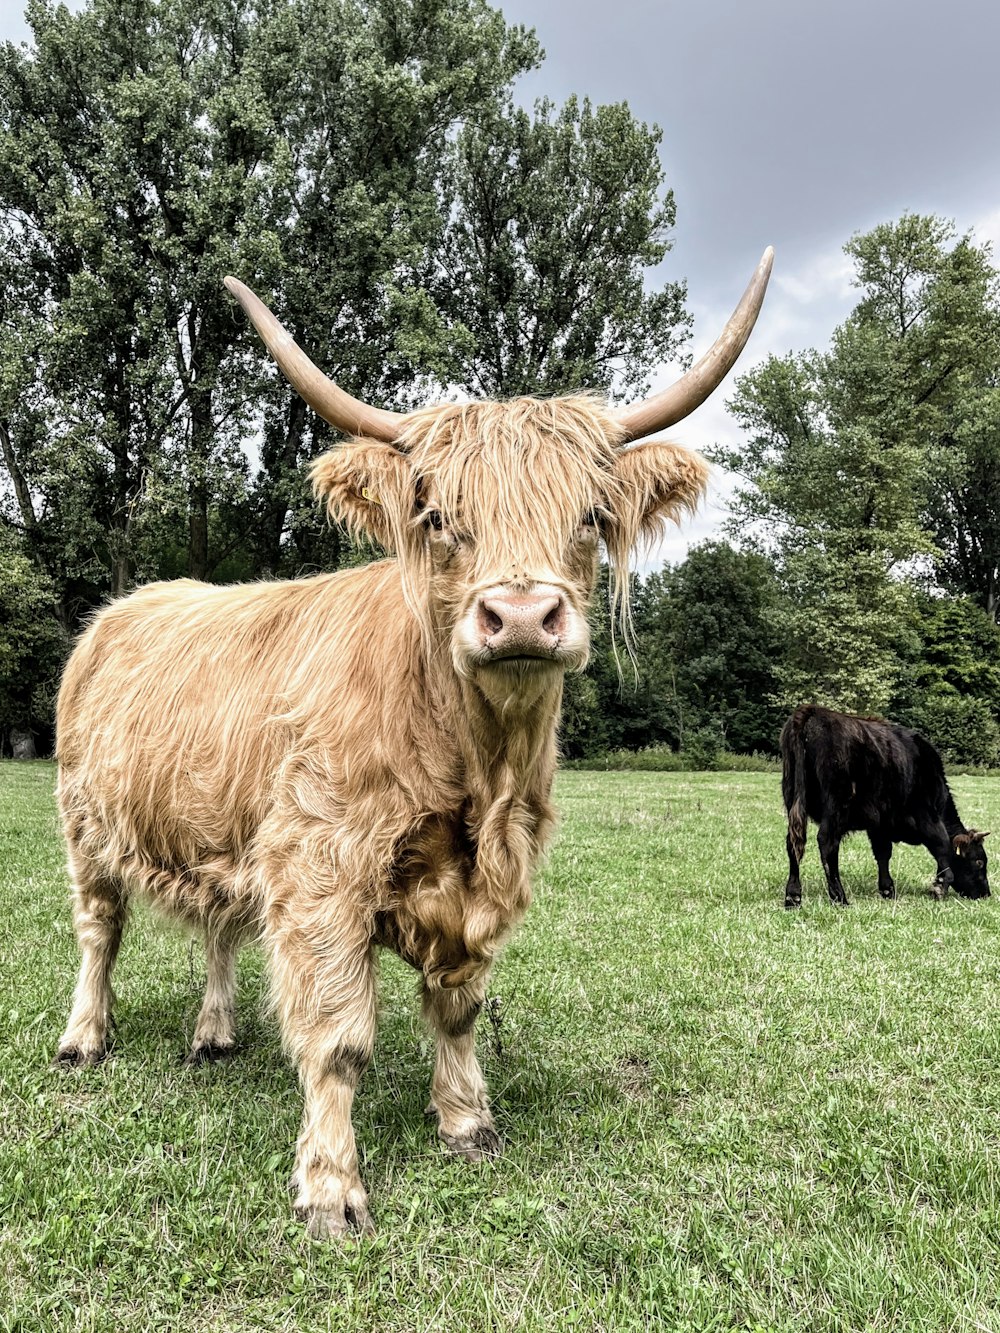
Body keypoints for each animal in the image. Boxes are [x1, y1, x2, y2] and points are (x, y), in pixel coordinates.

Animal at [54, 250, 773, 1237]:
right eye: (435, 514)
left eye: (591, 513)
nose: (520, 615)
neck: (480, 774)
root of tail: (122, 608)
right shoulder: (322, 864)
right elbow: (339, 1038)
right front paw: (330, 1185)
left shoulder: (479, 874)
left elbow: (459, 1006)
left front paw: (467, 1120)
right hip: (85, 823)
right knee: (100, 929)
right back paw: (84, 1037)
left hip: (227, 825)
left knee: (221, 928)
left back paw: (215, 1032)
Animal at [784, 709, 986, 906]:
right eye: (979, 862)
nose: (986, 894)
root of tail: (811, 711)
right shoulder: (927, 815)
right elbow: (942, 847)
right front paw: (939, 887)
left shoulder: (879, 825)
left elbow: (883, 853)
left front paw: (888, 890)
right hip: (836, 807)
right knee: (827, 843)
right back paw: (840, 898)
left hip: (793, 801)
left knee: (793, 843)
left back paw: (793, 897)